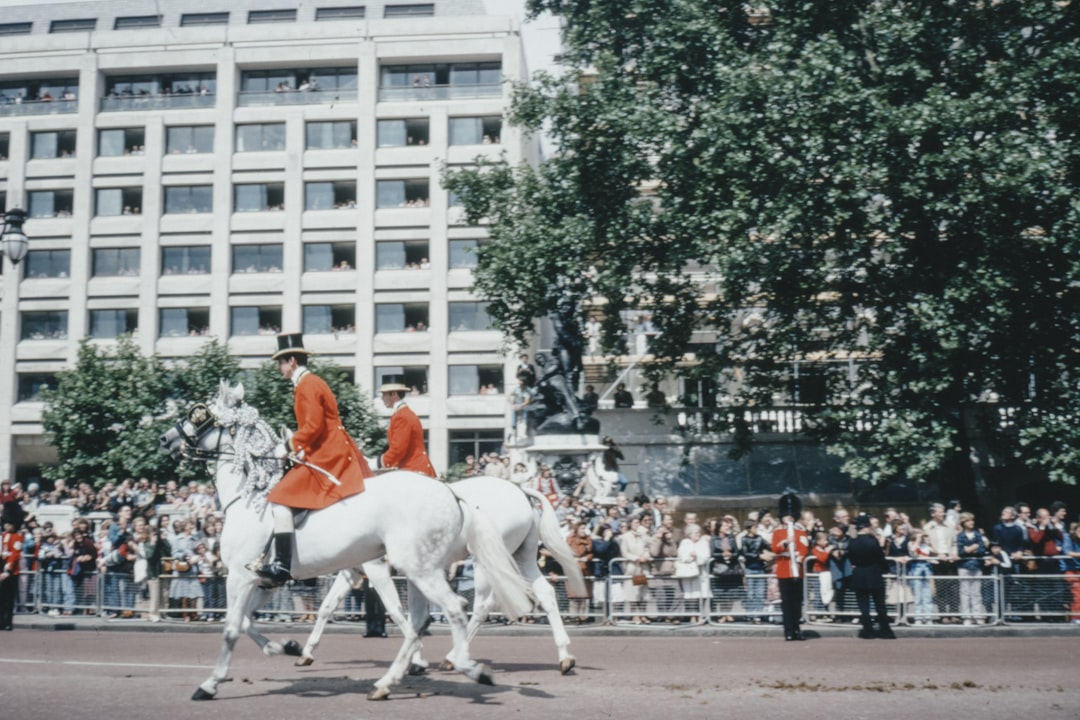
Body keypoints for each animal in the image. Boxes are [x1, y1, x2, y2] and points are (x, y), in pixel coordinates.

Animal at [159, 386, 531, 699]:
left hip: (420, 568)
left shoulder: (240, 576)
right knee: (424, 619)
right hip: (421, 569)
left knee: (454, 608)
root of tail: (451, 493)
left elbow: (232, 627)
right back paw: (390, 681)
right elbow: (254, 621)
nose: (165, 438)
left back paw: (465, 667)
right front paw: (290, 647)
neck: (251, 498)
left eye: (199, 414)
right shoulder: (265, 580)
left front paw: (211, 683)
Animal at [295, 479, 587, 677]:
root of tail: (520, 491)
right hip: (522, 556)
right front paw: (307, 652)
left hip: (486, 560)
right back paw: (565, 655)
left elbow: (397, 610)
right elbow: (327, 607)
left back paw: (452, 656)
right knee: (545, 594)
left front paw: (416, 659)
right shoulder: (353, 570)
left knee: (483, 606)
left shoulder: (376, 567)